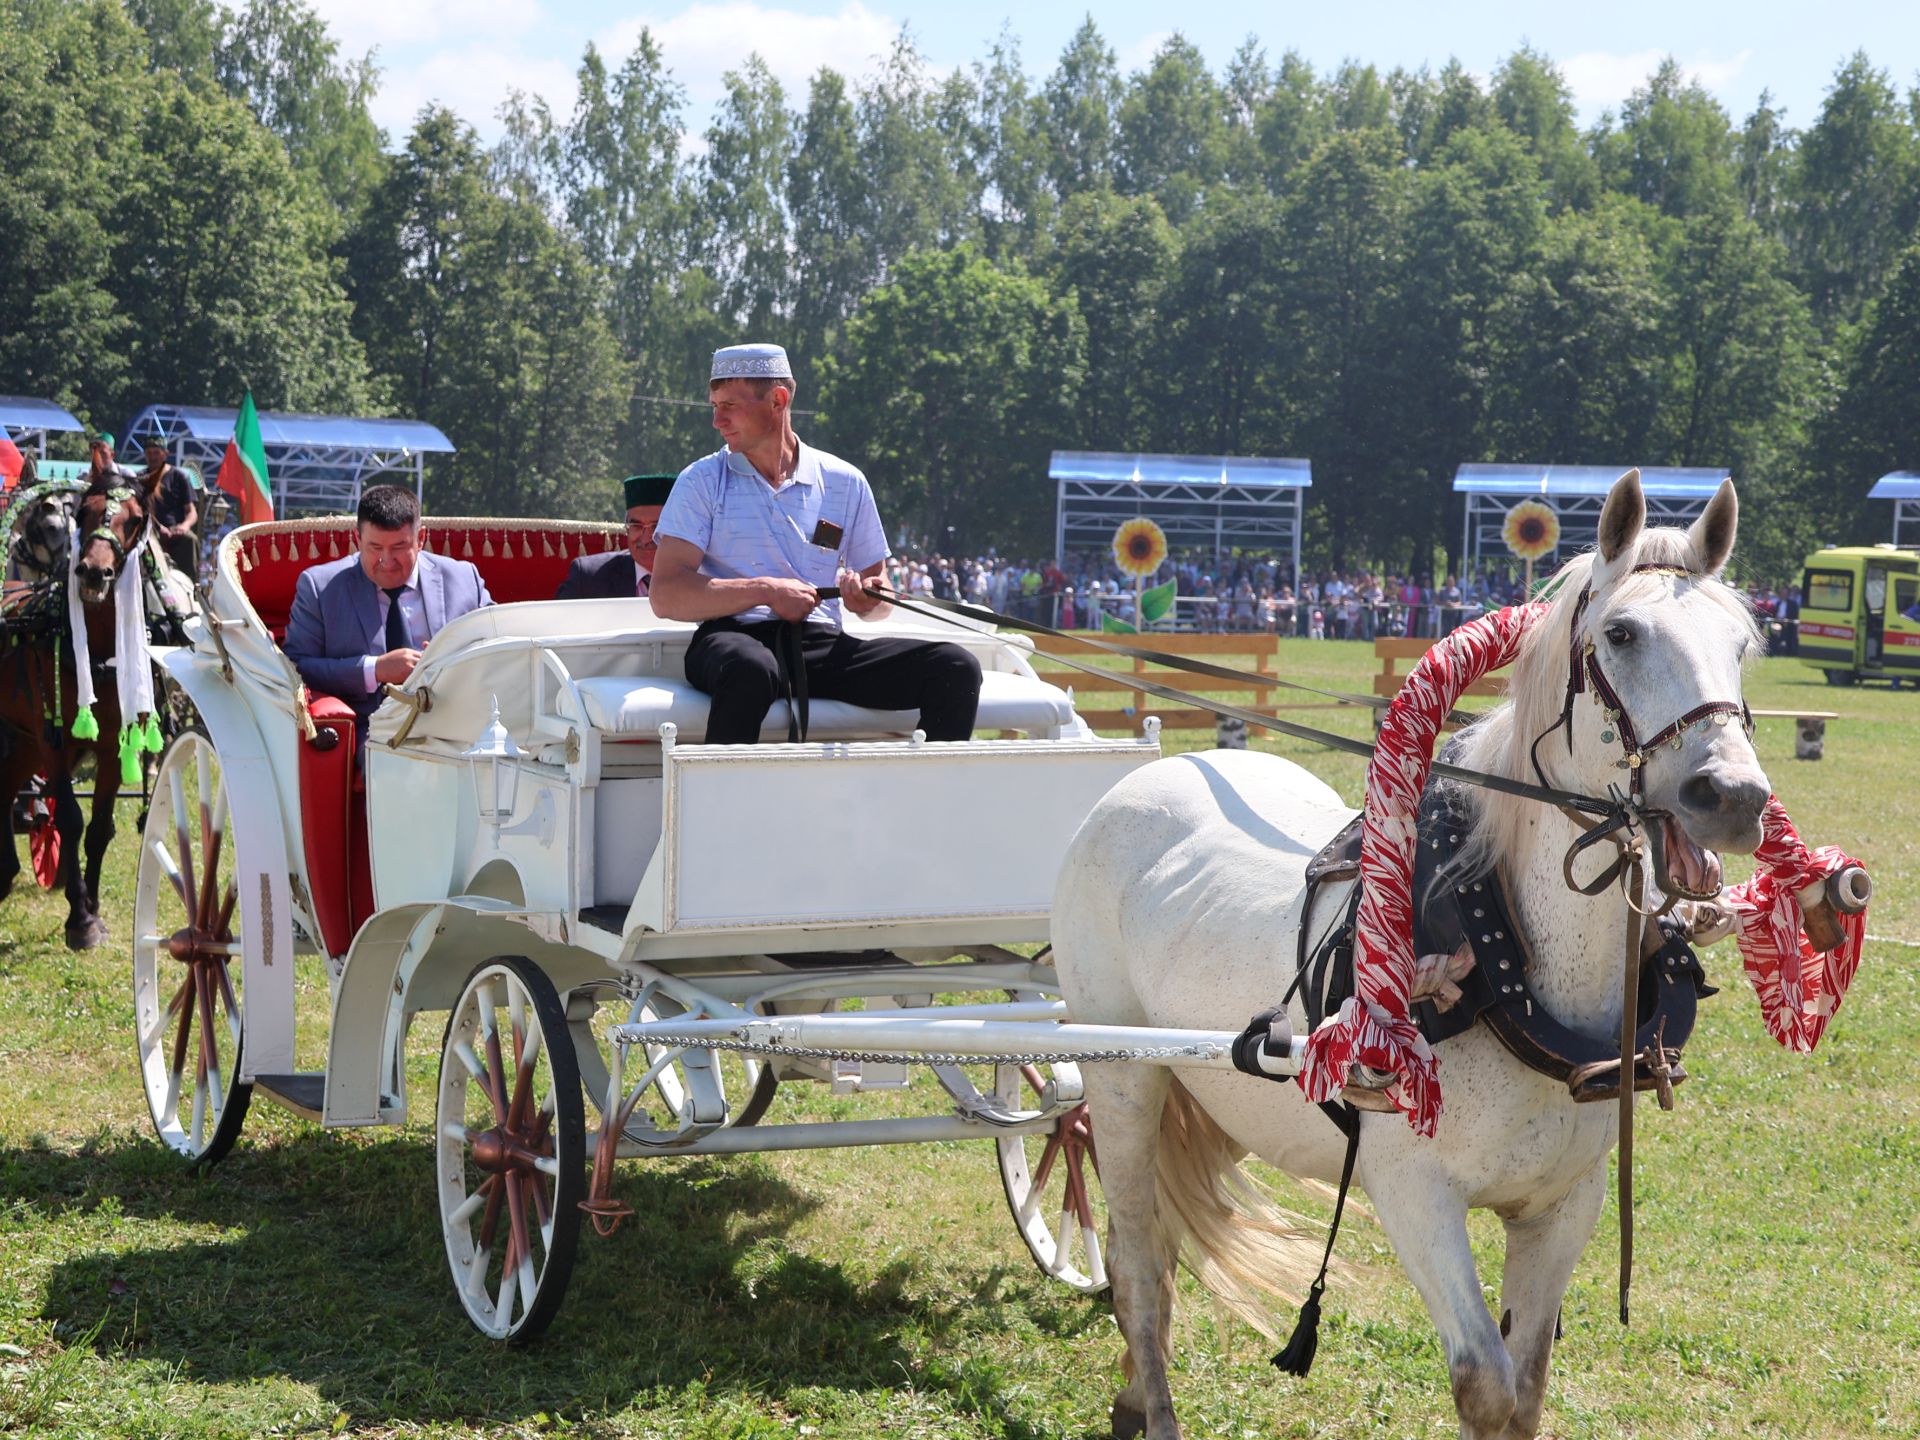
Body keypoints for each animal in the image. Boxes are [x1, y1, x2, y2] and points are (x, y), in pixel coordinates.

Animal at [0, 481, 150, 948]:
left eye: (134, 520)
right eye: (87, 512)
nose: (92, 573)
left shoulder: (112, 747)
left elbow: (99, 828)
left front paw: (92, 908)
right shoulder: (55, 745)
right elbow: (70, 817)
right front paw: (79, 919)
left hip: (22, 739)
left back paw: (5, 874)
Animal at [1052, 476, 1766, 1440]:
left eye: (1742, 643)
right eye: (1621, 634)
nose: (1733, 796)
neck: (1509, 974)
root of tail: (1144, 777)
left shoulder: (1564, 1205)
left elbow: (1526, 1388)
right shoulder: (1413, 1190)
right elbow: (1485, 1382)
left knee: (1158, 1250)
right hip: (1124, 1078)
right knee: (1134, 1262)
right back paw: (1153, 1406)